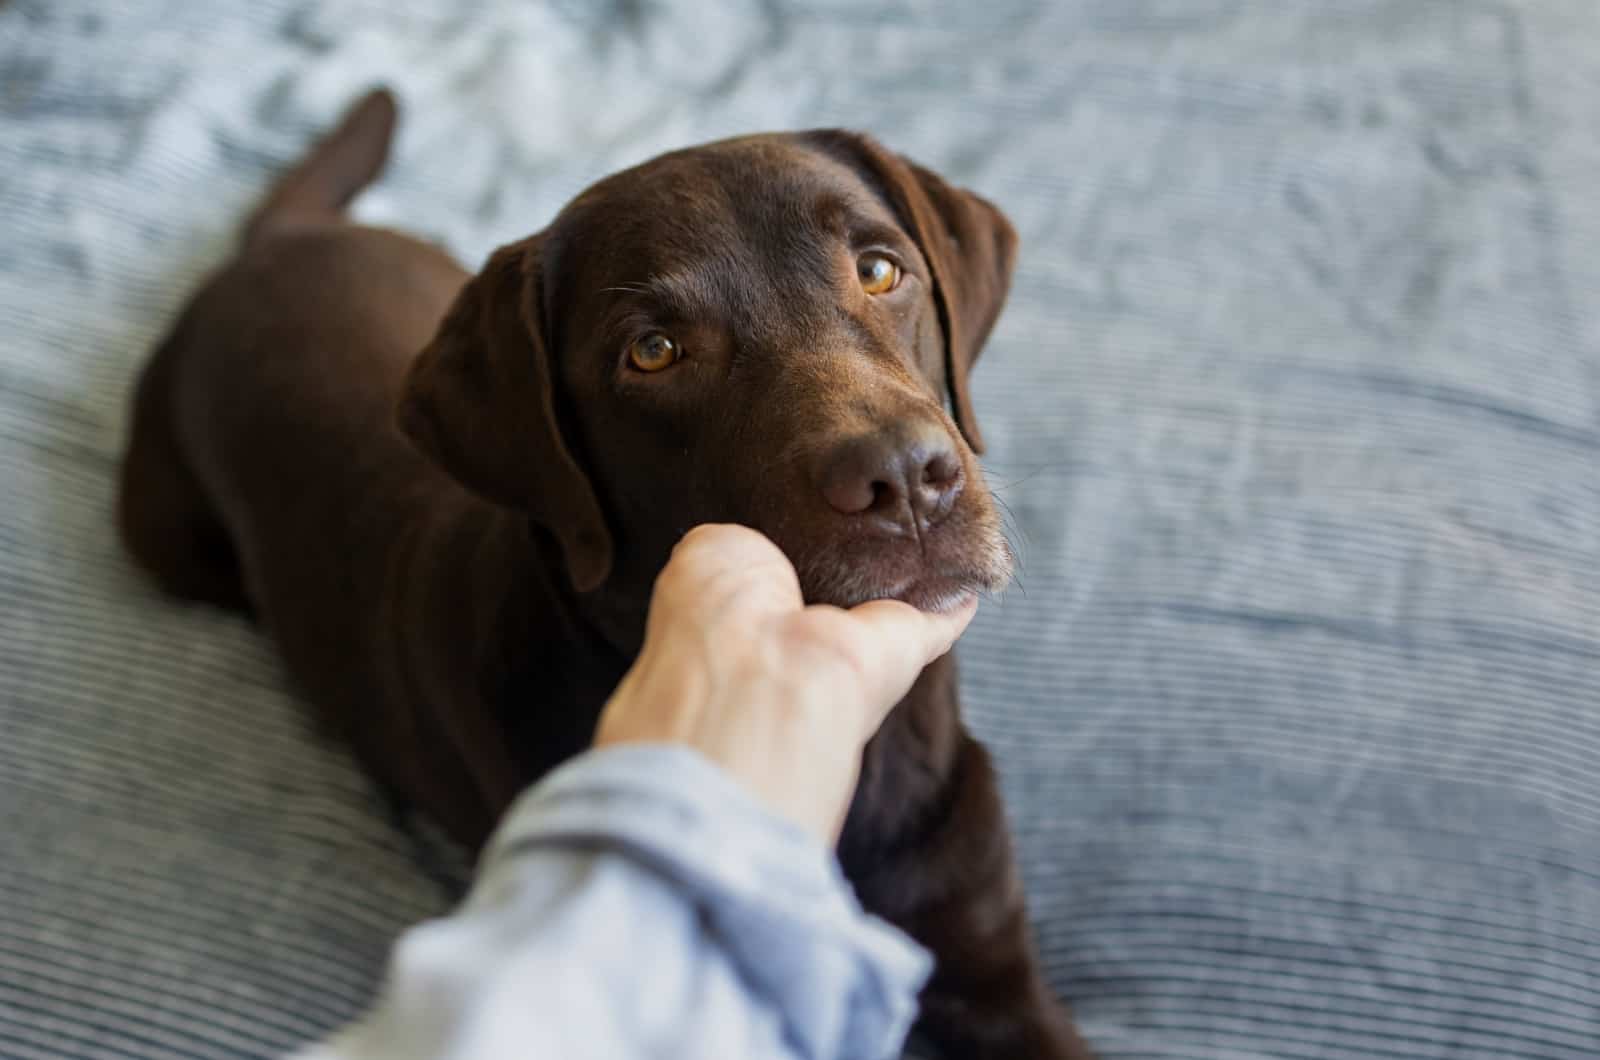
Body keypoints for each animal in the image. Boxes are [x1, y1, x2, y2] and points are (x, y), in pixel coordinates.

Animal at [121, 93, 1100, 1060]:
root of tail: (277, 241)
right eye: (655, 351)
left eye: (880, 270)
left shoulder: (994, 970)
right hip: (172, 543)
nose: (903, 478)